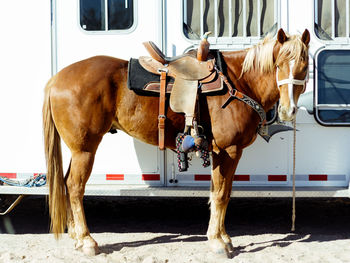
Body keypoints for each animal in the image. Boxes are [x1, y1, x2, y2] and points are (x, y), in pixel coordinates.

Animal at [43, 28, 308, 258]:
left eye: (304, 67)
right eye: (279, 64)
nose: (288, 110)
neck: (238, 83)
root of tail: (56, 79)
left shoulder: (226, 153)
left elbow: (223, 192)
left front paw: (224, 237)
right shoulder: (228, 151)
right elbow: (221, 194)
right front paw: (217, 242)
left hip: (78, 150)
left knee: (66, 183)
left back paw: (76, 237)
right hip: (85, 149)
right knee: (75, 187)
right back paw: (87, 240)